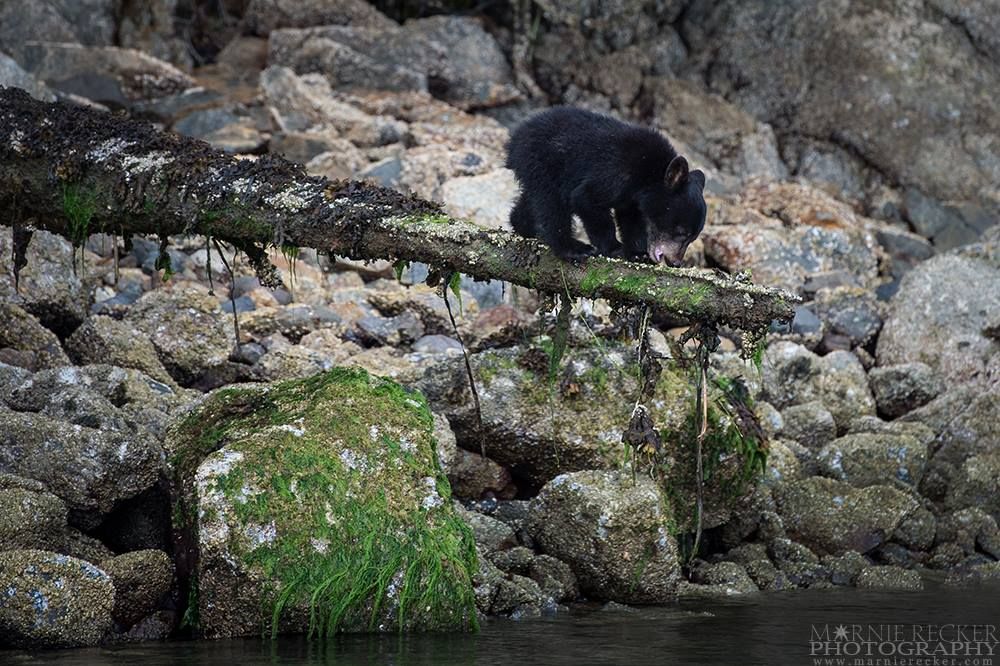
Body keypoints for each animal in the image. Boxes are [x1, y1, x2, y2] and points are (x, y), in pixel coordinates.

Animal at [506, 106, 707, 266]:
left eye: (692, 238)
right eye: (681, 232)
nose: (675, 262)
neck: (649, 172)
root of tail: (515, 139)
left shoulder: (631, 199)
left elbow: (631, 219)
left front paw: (638, 253)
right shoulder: (615, 174)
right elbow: (585, 198)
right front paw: (615, 248)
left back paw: (523, 225)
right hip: (543, 163)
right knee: (552, 205)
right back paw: (573, 248)